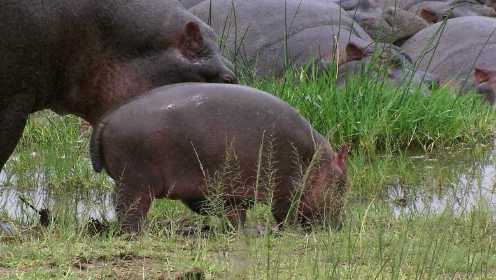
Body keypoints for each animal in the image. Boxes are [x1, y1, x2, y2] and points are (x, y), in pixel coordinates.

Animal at [92, 82, 348, 232]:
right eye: (342, 184)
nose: (341, 226)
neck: (316, 161)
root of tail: (106, 118)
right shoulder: (286, 188)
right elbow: (285, 215)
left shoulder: (233, 191)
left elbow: (235, 214)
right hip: (136, 182)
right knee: (129, 212)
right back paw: (138, 233)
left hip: (129, 181)